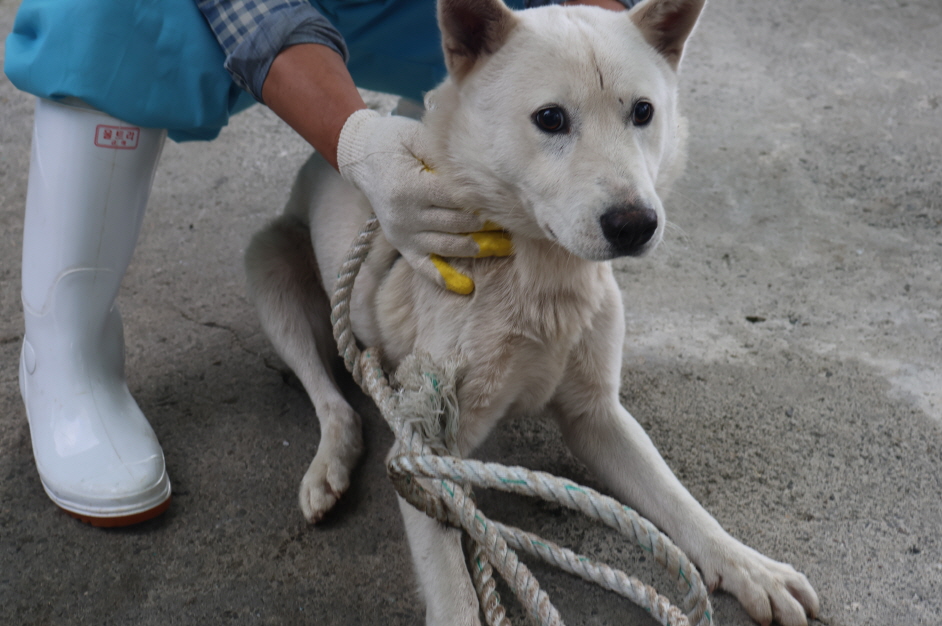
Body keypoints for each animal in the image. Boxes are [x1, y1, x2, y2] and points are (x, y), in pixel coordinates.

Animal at [247, 1, 824, 624]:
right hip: (269, 267)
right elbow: (453, 591)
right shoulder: (424, 452)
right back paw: (329, 464)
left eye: (643, 111)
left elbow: (681, 503)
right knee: (331, 398)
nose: (635, 224)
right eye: (550, 118)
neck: (542, 281)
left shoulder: (598, 414)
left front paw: (748, 566)